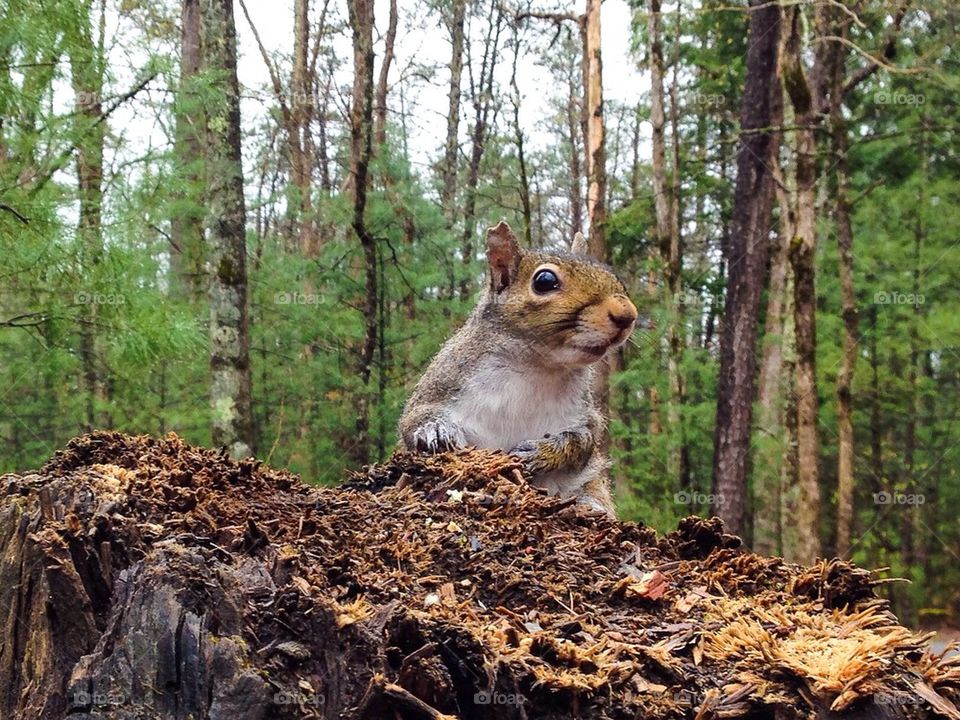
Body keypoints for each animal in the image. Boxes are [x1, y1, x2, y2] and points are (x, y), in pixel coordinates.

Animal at [398, 220, 637, 515]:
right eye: (544, 281)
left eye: (612, 275)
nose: (628, 314)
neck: (535, 365)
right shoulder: (445, 380)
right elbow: (412, 419)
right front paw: (437, 431)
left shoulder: (584, 413)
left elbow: (584, 440)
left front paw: (544, 452)